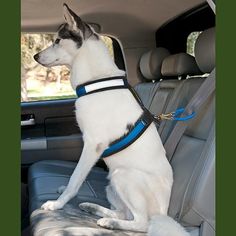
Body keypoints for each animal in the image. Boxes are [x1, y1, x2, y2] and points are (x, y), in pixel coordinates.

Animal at [33, 3, 190, 236]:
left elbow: (75, 179)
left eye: (58, 40)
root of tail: (164, 214)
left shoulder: (92, 145)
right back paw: (93, 208)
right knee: (124, 213)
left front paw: (58, 204)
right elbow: (76, 178)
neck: (97, 80)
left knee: (141, 222)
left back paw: (110, 223)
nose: (35, 57)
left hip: (122, 175)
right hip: (111, 186)